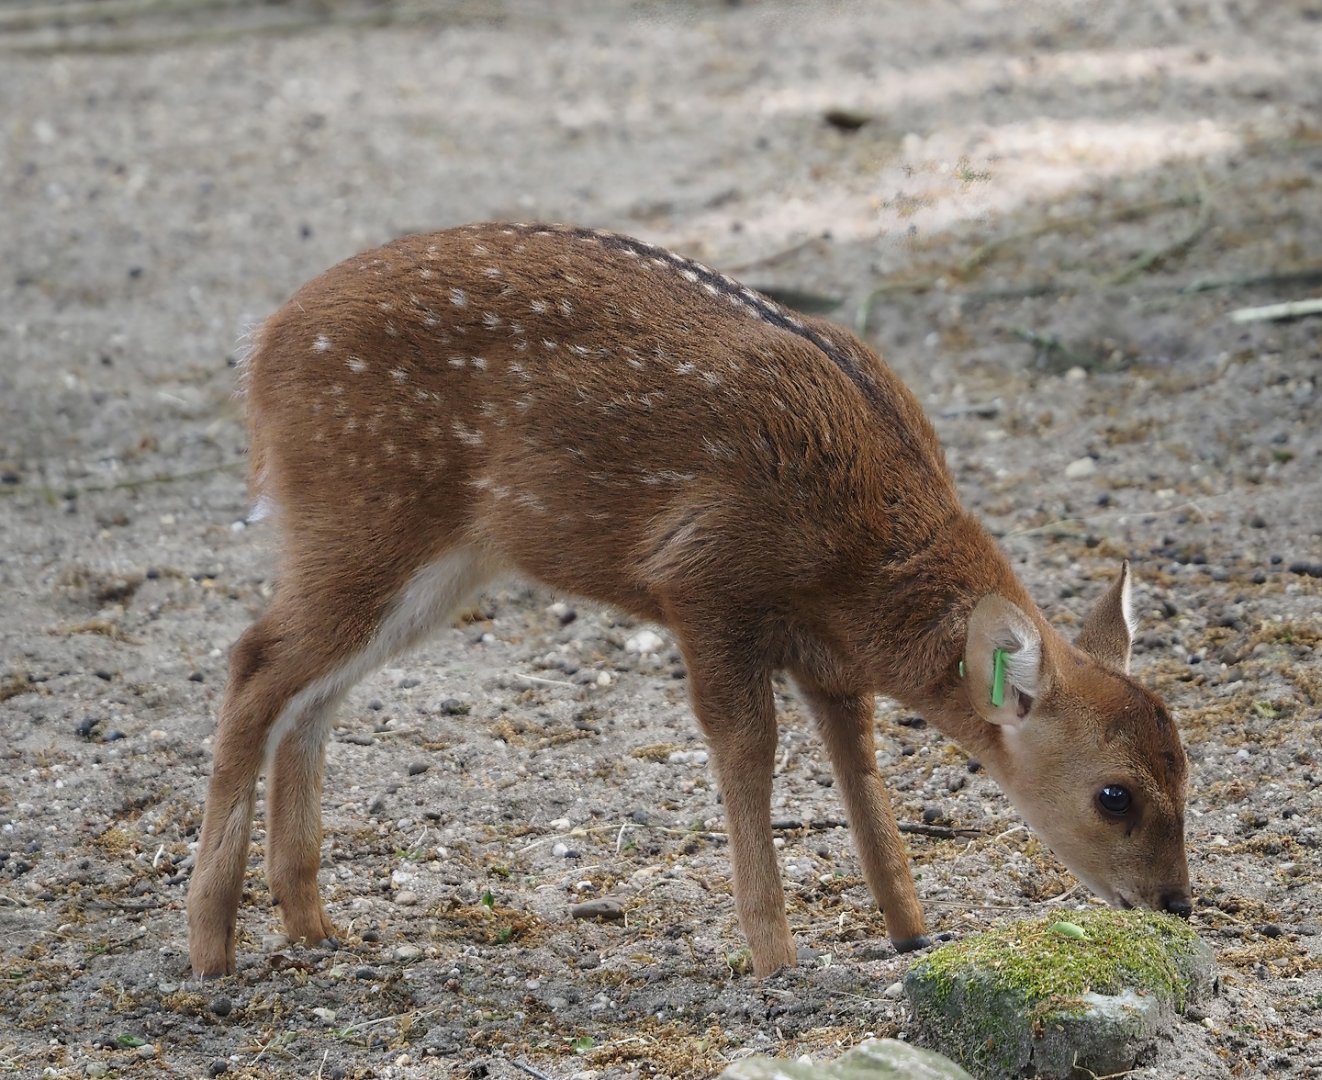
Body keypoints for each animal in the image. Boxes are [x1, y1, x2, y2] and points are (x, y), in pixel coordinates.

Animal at [187, 222, 1192, 979]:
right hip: (363, 508)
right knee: (253, 663)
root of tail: (260, 349)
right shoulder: (705, 583)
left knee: (309, 695)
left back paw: (312, 924)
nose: (1176, 903)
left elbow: (858, 765)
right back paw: (210, 948)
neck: (861, 554)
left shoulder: (828, 653)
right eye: (1114, 795)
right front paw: (777, 959)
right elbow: (749, 749)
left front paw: (912, 931)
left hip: (433, 560)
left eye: (1188, 769)